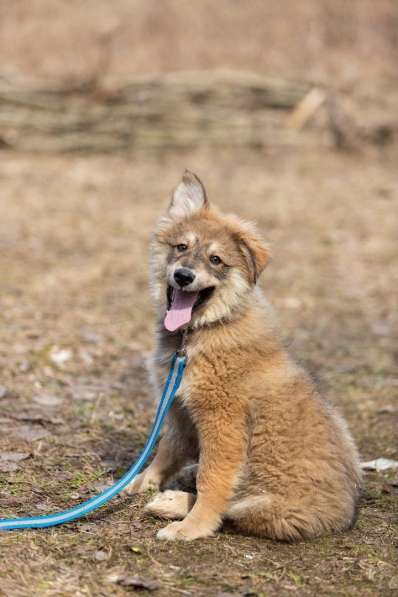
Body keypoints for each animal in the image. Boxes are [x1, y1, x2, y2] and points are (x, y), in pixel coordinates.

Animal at [123, 170, 360, 544]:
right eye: (181, 247)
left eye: (216, 260)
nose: (183, 276)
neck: (201, 331)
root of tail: (343, 516)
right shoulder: (179, 411)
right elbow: (164, 453)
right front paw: (142, 482)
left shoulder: (222, 422)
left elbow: (212, 481)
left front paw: (193, 527)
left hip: (266, 506)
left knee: (232, 507)